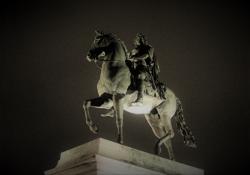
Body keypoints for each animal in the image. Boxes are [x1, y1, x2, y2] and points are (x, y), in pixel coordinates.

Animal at [83, 30, 196, 160]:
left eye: (97, 40)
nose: (88, 55)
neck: (115, 68)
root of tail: (175, 97)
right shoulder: (107, 99)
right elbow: (86, 103)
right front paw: (93, 127)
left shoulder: (118, 97)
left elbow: (119, 119)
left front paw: (120, 141)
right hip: (154, 120)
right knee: (167, 139)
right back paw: (170, 159)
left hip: (165, 114)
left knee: (170, 133)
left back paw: (157, 147)